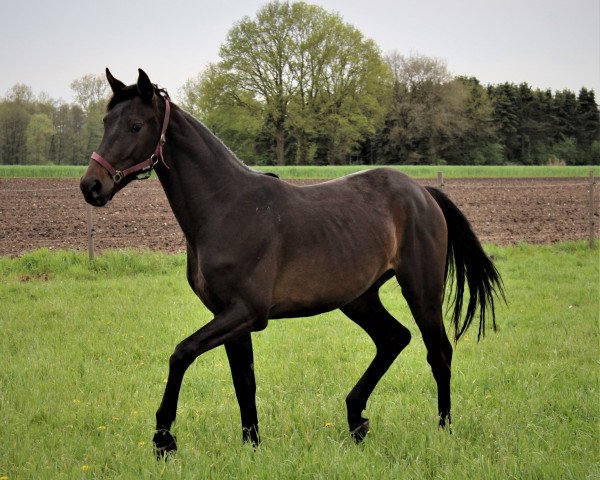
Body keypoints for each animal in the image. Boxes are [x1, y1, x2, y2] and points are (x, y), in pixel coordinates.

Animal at [78, 68, 502, 458]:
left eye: (135, 125)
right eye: (106, 122)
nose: (91, 186)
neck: (225, 207)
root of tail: (423, 193)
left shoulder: (246, 312)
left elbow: (181, 353)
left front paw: (164, 439)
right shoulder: (230, 317)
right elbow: (244, 383)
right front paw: (252, 445)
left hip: (421, 290)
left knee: (438, 353)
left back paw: (443, 429)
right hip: (359, 298)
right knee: (394, 338)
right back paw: (356, 419)